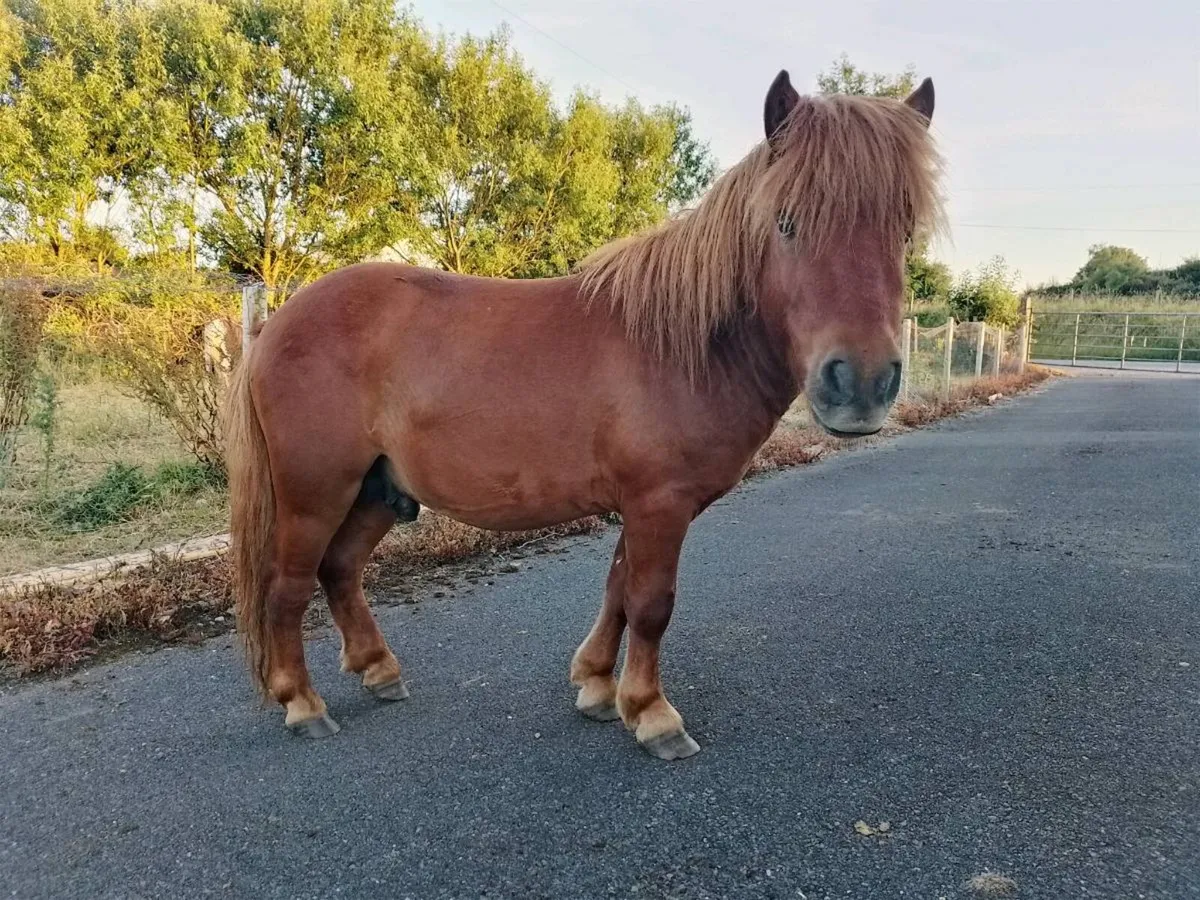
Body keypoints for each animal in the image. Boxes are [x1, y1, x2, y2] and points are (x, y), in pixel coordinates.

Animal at [224, 70, 942, 759]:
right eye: (786, 222)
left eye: (904, 231)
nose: (862, 383)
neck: (682, 345)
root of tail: (277, 323)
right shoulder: (658, 502)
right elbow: (650, 604)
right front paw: (651, 714)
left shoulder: (643, 505)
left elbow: (618, 591)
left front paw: (597, 686)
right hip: (315, 492)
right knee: (288, 586)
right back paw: (302, 704)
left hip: (379, 489)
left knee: (339, 569)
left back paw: (379, 670)